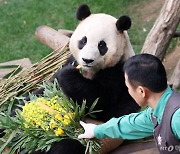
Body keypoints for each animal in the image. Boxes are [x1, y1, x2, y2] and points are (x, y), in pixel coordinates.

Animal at [34, 4, 141, 153]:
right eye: (83, 41)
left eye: (102, 45)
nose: (87, 60)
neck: (89, 70)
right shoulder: (71, 60)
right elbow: (44, 89)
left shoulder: (119, 73)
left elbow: (100, 101)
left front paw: (67, 74)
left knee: (67, 146)